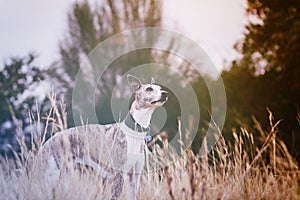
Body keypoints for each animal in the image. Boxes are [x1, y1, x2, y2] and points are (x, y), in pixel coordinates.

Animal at [35, 74, 169, 200]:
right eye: (149, 89)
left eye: (160, 88)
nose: (165, 93)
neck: (134, 131)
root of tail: (46, 144)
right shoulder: (118, 176)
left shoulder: (134, 177)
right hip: (50, 178)